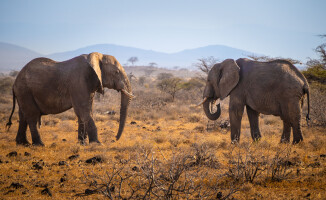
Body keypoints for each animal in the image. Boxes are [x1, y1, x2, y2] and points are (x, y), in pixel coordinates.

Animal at [5, 51, 133, 145]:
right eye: (116, 72)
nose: (115, 139)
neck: (96, 56)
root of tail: (14, 83)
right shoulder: (78, 82)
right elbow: (83, 110)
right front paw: (97, 144)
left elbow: (85, 111)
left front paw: (82, 143)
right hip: (25, 91)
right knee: (32, 116)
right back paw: (39, 144)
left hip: (23, 93)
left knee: (23, 115)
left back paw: (23, 143)